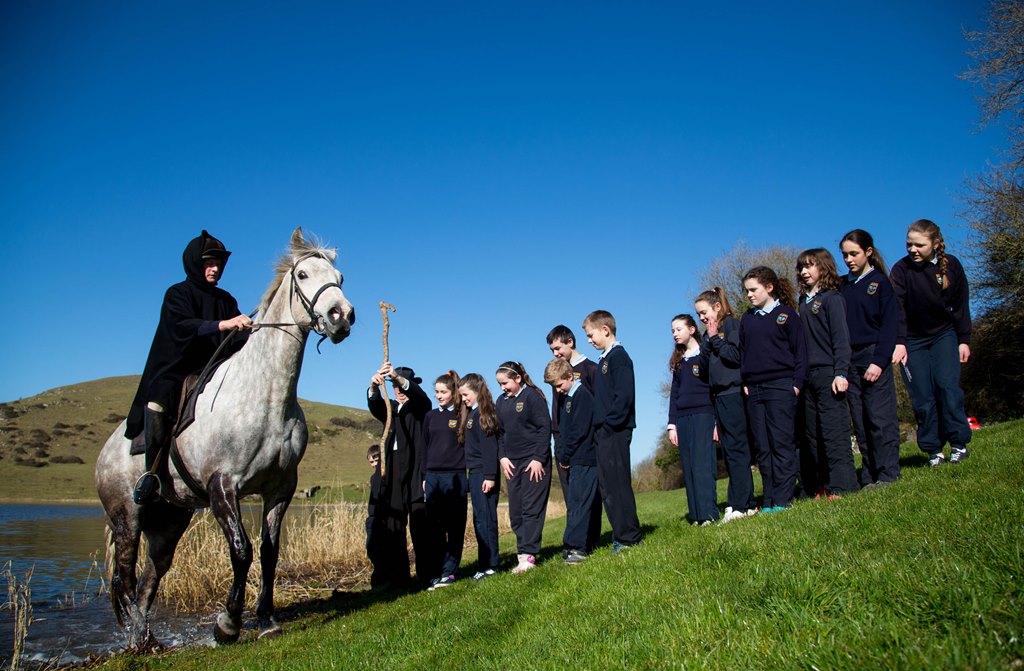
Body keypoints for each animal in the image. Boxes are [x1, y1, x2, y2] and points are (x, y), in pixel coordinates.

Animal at [95, 228, 356, 647]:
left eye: (340, 278)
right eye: (302, 275)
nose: (341, 316)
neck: (265, 397)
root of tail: (106, 452)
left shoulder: (281, 488)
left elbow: (269, 552)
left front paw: (266, 619)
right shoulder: (222, 487)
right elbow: (242, 550)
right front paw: (228, 623)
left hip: (169, 522)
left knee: (150, 576)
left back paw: (146, 639)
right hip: (126, 518)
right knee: (126, 576)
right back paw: (139, 639)